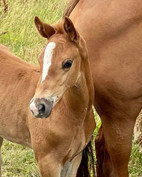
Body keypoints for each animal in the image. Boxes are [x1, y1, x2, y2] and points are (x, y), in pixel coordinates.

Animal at [0, 16, 95, 176]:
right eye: (40, 59)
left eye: (67, 63)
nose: (37, 107)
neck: (74, 116)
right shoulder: (48, 161)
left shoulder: (73, 160)